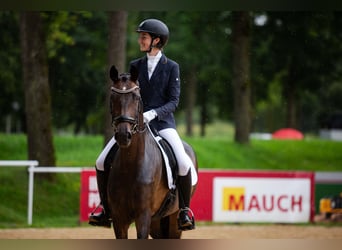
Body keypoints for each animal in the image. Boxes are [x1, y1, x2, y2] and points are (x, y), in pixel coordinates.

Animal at [106, 64, 198, 238]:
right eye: (112, 97)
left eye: (136, 97)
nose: (123, 135)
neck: (131, 163)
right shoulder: (119, 219)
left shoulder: (143, 216)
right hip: (156, 223)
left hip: (173, 220)